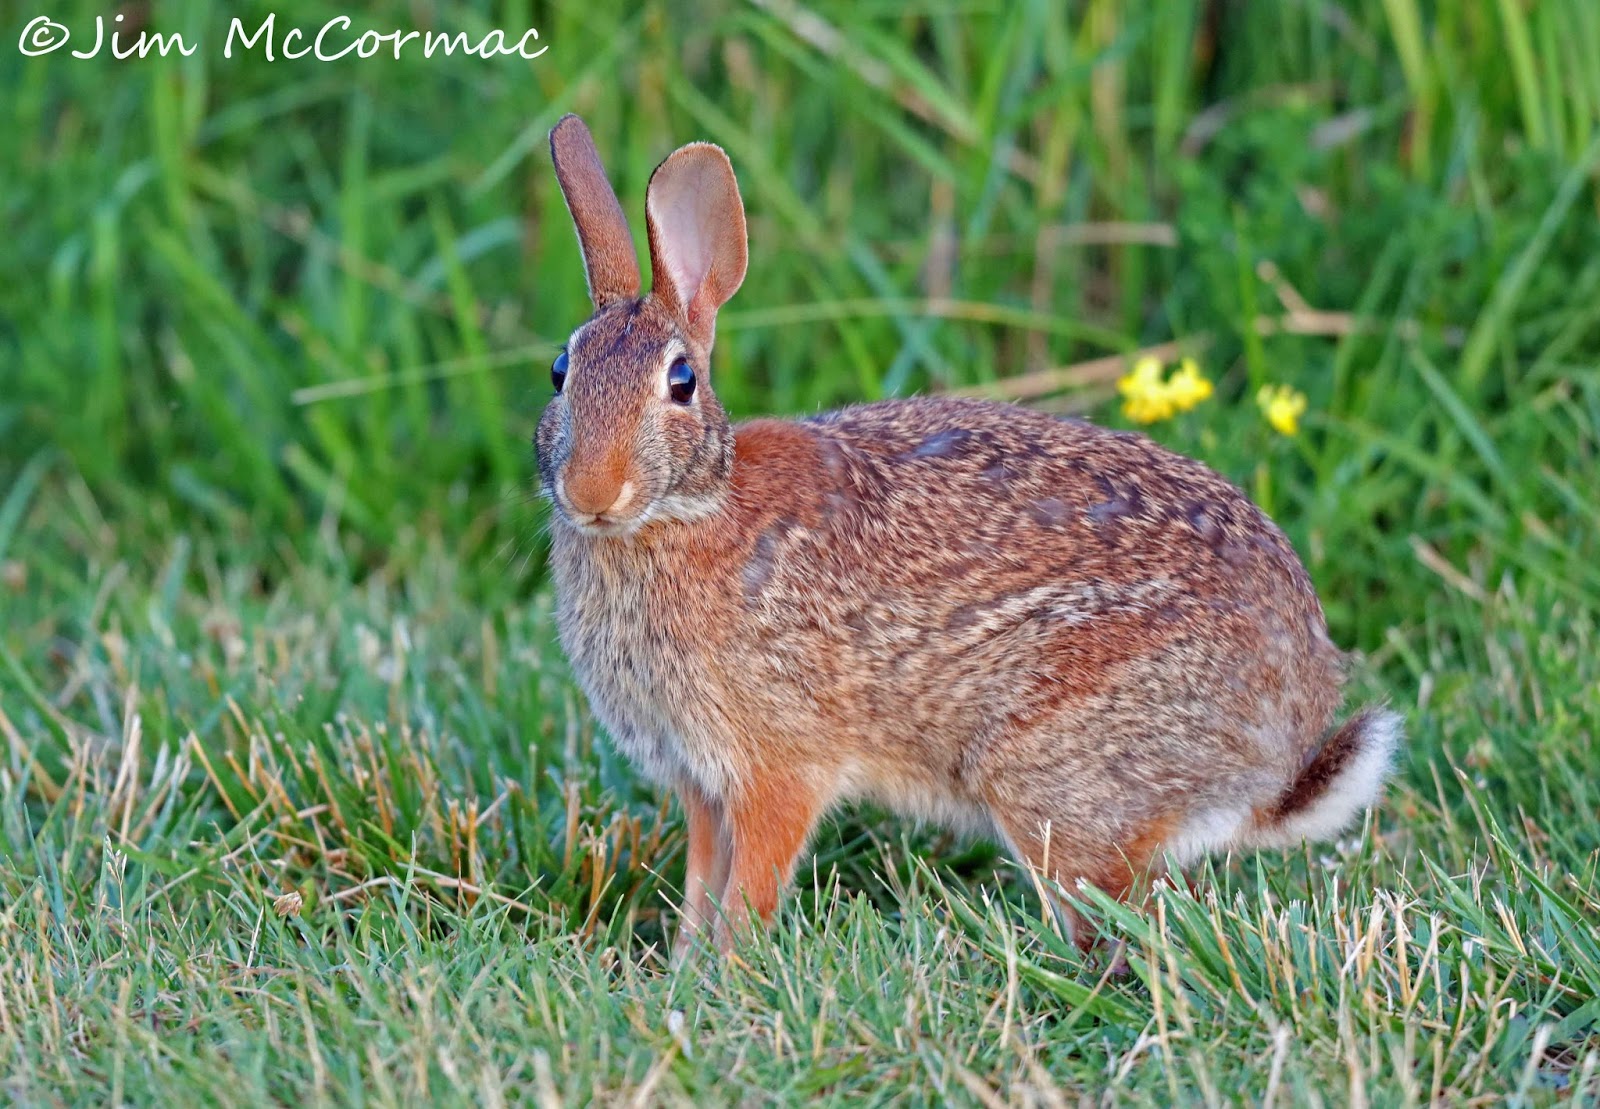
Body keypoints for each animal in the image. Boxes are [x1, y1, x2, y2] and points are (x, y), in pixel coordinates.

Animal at [536, 114, 1401, 958]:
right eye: (559, 371)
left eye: (680, 383)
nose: (592, 491)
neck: (688, 509)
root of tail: (1281, 745)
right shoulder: (701, 785)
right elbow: (700, 885)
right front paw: (683, 972)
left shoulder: (777, 768)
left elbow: (747, 891)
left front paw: (726, 973)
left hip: (1047, 777)